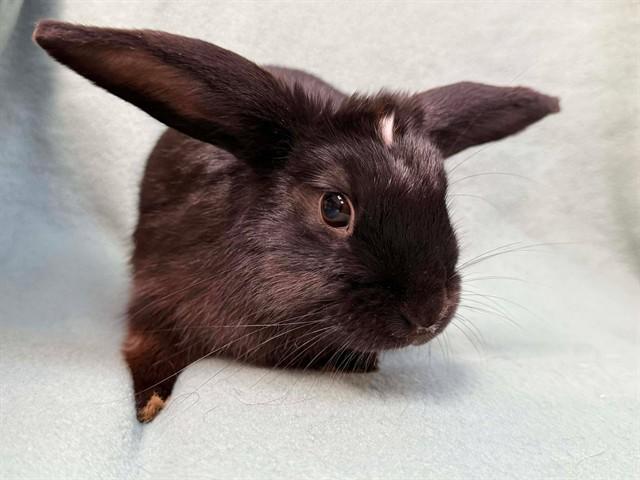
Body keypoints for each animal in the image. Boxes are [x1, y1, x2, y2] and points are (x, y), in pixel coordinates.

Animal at [33, 20, 559, 422]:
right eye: (335, 207)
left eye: (442, 197)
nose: (428, 315)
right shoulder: (154, 301)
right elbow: (148, 356)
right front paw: (149, 408)